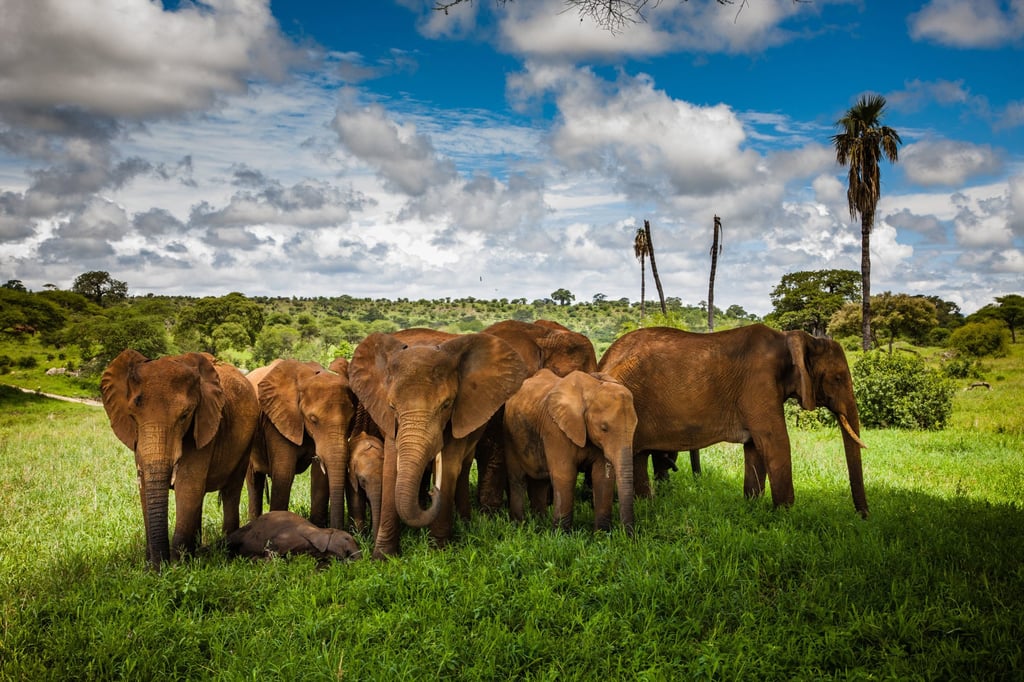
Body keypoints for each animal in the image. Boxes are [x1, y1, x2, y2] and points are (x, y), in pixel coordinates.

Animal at [101, 350, 259, 568]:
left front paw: (177, 567)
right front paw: (152, 566)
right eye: (132, 416)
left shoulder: (205, 426)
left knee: (231, 490)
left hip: (246, 443)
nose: (159, 566)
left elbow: (187, 486)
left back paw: (225, 551)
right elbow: (145, 489)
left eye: (185, 416)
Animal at [245, 358, 356, 529]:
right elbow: (284, 474)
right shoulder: (279, 421)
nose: (340, 529)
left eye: (351, 420)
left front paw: (318, 528)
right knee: (254, 482)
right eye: (313, 419)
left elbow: (319, 477)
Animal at [349, 328, 528, 558]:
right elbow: (390, 469)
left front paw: (439, 554)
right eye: (392, 406)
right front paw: (383, 558)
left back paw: (465, 522)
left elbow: (449, 467)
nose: (433, 493)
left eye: (446, 405)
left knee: (463, 468)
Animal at [503, 370, 637, 534]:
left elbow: (602, 476)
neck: (592, 388)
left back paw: (539, 524)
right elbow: (565, 475)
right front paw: (561, 535)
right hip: (509, 435)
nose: (628, 535)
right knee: (517, 479)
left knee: (540, 482)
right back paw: (519, 526)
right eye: (604, 428)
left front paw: (602, 534)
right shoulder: (555, 429)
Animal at [597, 324, 868, 517]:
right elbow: (775, 443)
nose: (863, 517)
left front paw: (752, 506)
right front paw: (786, 514)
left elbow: (755, 448)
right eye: (837, 378)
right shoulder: (759, 384)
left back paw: (647, 504)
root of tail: (604, 358)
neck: (792, 338)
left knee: (638, 456)